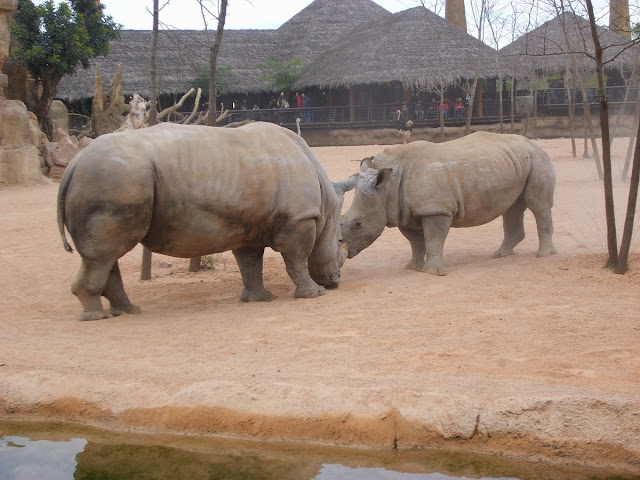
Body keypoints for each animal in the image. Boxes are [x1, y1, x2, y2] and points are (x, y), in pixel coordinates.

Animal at [57, 122, 352, 320]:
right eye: (339, 240)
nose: (335, 282)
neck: (326, 204)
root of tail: (75, 162)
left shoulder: (250, 226)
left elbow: (250, 264)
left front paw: (259, 300)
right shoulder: (299, 218)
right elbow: (297, 258)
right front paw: (314, 294)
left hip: (108, 178)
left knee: (107, 255)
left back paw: (128, 311)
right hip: (114, 178)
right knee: (104, 254)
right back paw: (97, 317)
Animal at [340, 131, 556, 276]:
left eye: (358, 224)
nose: (346, 251)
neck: (387, 189)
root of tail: (532, 142)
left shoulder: (436, 210)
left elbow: (433, 239)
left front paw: (432, 272)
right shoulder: (405, 212)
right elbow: (415, 242)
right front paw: (412, 268)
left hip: (537, 159)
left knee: (538, 205)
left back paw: (543, 255)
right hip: (515, 161)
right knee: (511, 208)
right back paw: (501, 255)